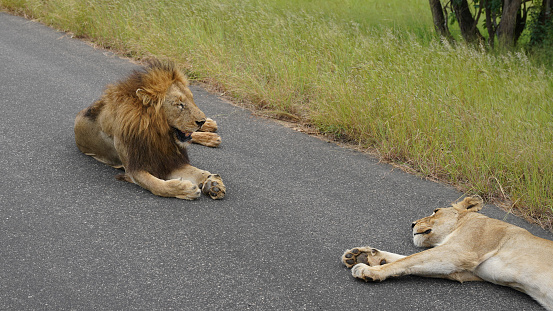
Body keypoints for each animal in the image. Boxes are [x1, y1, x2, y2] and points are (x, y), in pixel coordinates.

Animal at [74, 60, 225, 201]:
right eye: (179, 105)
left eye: (192, 100)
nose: (201, 121)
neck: (158, 135)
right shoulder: (135, 169)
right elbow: (158, 186)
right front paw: (185, 189)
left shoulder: (169, 159)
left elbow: (197, 172)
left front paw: (214, 184)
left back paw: (211, 130)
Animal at [340, 196, 552, 310]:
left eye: (435, 210)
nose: (412, 224)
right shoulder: (461, 271)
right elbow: (406, 260)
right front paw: (362, 255)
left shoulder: (459, 251)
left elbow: (408, 260)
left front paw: (369, 270)